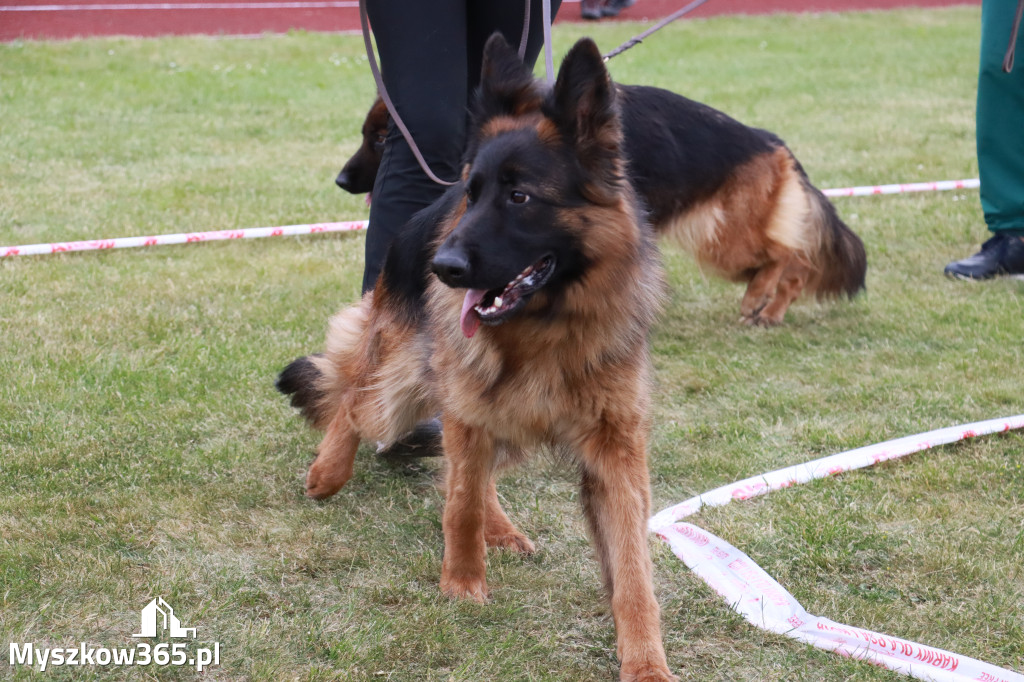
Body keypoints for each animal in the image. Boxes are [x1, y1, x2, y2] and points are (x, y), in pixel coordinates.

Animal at [284, 35, 675, 679]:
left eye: (519, 197)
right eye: (475, 195)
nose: (443, 268)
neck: (546, 328)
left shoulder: (615, 450)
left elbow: (632, 566)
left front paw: (645, 660)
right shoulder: (467, 408)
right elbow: (460, 502)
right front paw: (462, 585)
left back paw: (502, 527)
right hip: (405, 380)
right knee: (357, 400)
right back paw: (329, 470)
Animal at [335, 79, 864, 327]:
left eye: (381, 139)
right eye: (366, 134)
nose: (340, 180)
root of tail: (769, 140)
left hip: (725, 239)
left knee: (789, 255)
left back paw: (764, 303)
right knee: (790, 255)